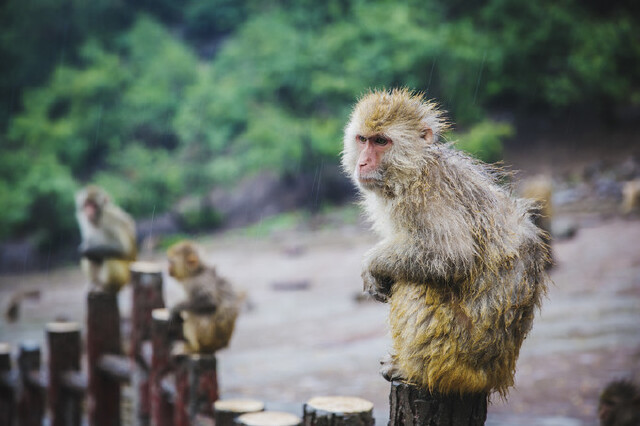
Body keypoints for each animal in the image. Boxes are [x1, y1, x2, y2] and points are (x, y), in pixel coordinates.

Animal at [344, 88, 552, 398]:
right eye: (362, 139)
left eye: (381, 141)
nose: (363, 163)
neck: (414, 168)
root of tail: (494, 376)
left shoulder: (425, 195)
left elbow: (453, 255)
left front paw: (372, 265)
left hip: (453, 353)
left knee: (417, 285)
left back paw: (414, 370)